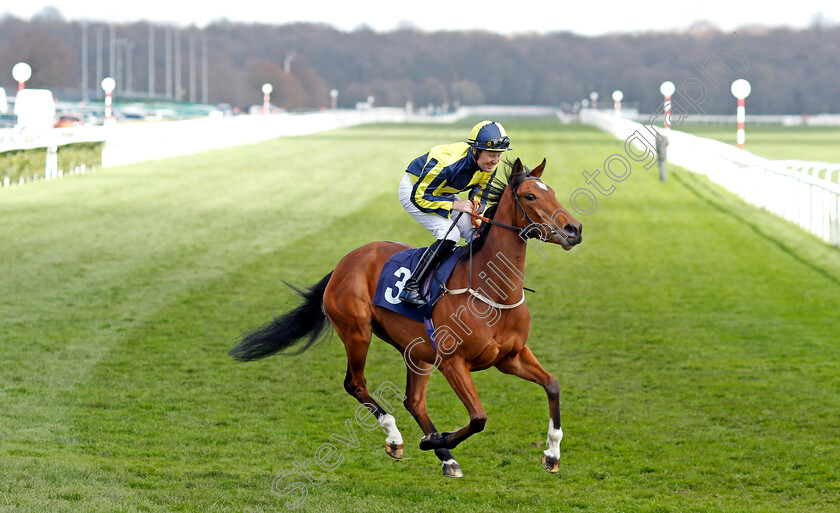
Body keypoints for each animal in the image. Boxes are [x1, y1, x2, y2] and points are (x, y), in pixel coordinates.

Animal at [231, 159, 584, 476]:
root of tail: (345, 262)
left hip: (416, 351)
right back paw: (398, 438)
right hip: (358, 332)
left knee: (414, 401)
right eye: (530, 196)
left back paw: (446, 457)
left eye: (552, 191)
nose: (574, 230)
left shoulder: (511, 356)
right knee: (356, 384)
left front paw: (552, 454)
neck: (493, 293)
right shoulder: (453, 361)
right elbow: (478, 418)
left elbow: (552, 385)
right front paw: (435, 440)